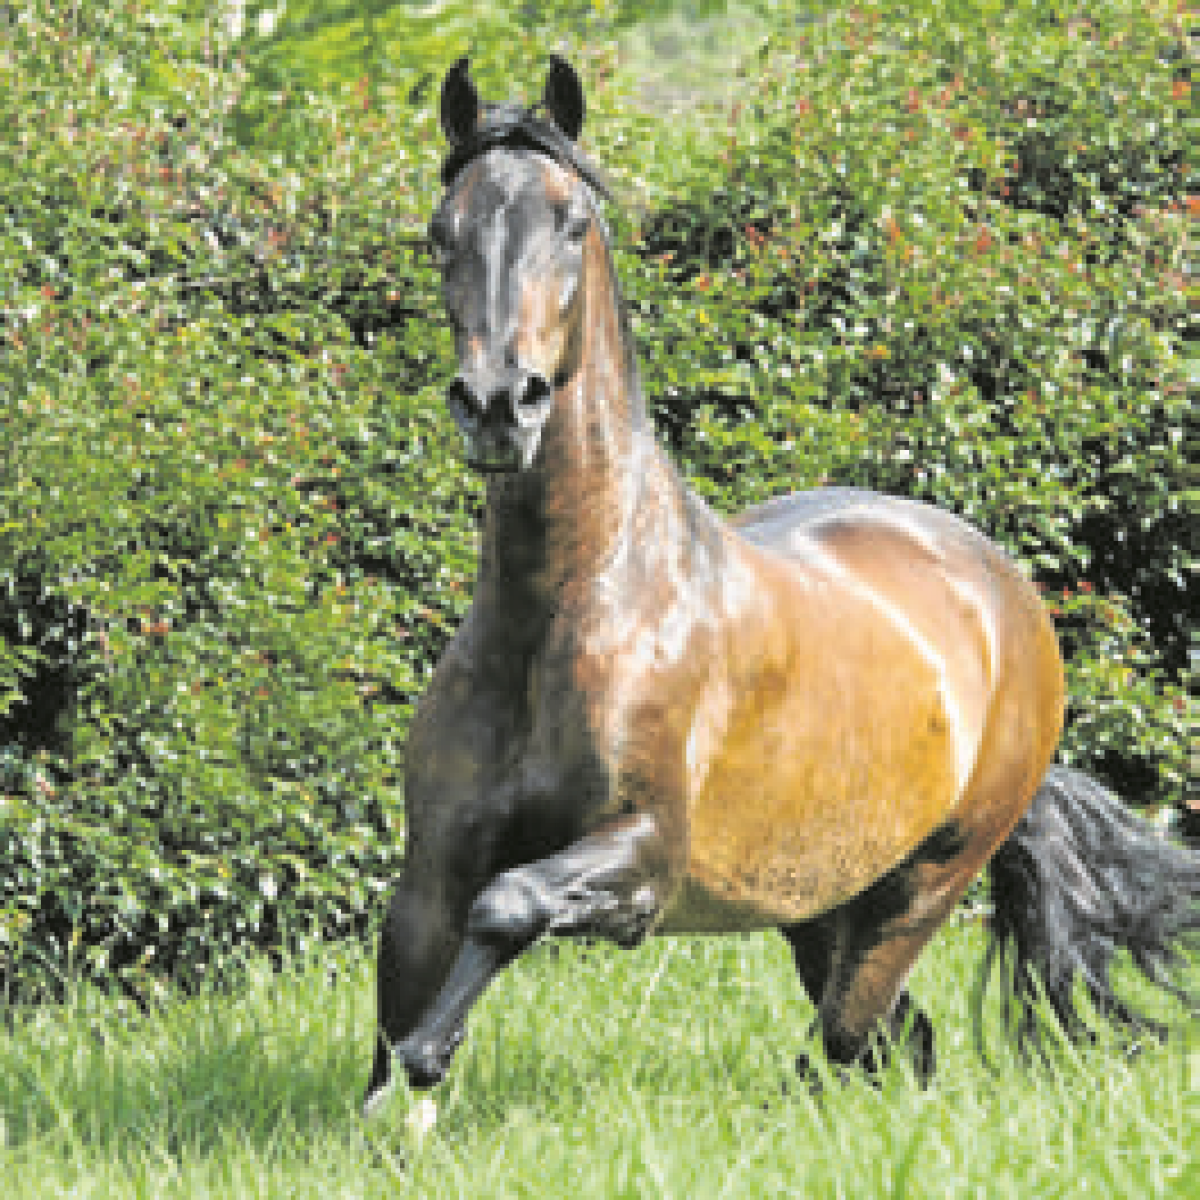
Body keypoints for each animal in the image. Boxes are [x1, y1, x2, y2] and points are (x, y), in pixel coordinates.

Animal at [364, 57, 1199, 1115]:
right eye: (442, 231)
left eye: (573, 221)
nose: (498, 405)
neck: (561, 613)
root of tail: (1005, 593)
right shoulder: (430, 871)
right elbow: (399, 996)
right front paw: (404, 1087)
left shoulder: (642, 858)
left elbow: (508, 905)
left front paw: (435, 1053)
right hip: (819, 896)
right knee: (892, 1037)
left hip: (923, 883)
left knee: (852, 1035)